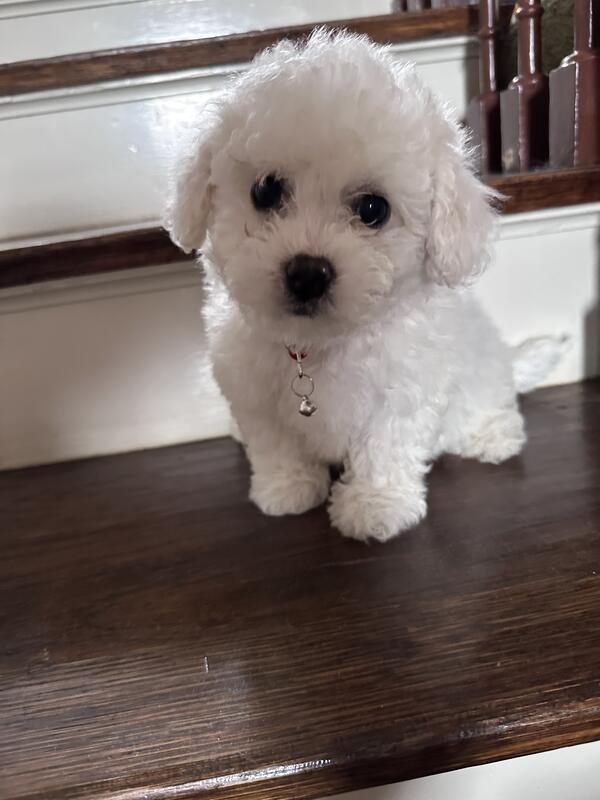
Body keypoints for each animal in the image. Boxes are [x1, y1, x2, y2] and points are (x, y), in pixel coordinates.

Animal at [167, 30, 562, 542]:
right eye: (265, 191)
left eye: (373, 209)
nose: (307, 273)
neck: (317, 345)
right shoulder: (254, 395)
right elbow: (276, 445)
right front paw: (287, 488)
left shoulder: (404, 391)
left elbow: (385, 449)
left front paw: (375, 505)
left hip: (483, 380)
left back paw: (494, 435)